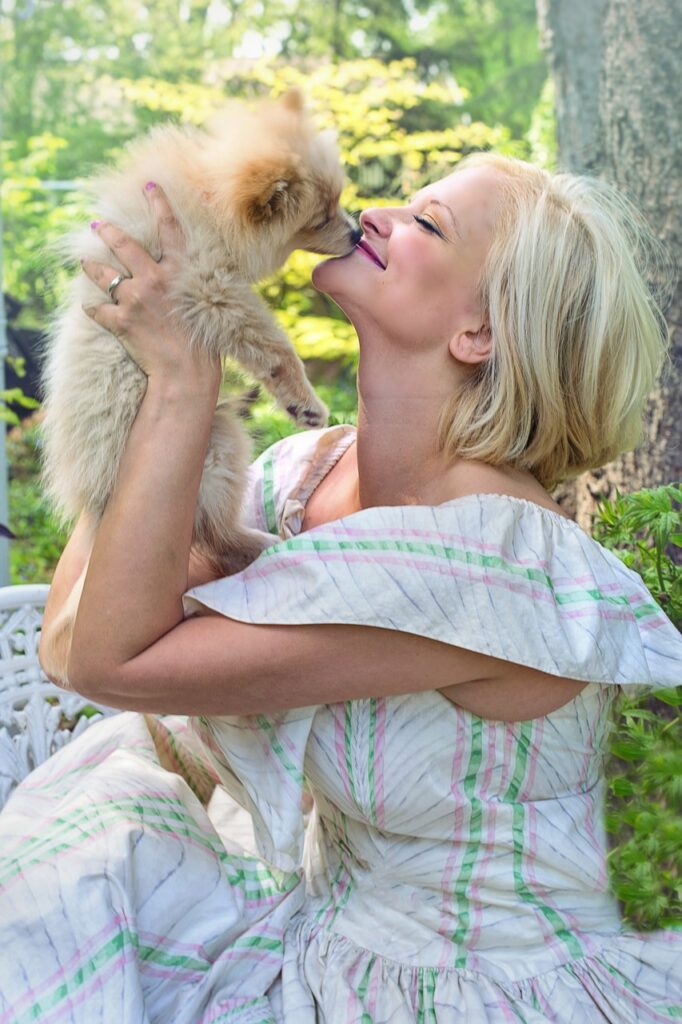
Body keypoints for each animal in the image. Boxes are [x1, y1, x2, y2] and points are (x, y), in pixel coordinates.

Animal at [37, 86, 358, 679]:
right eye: (321, 216)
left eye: (339, 203)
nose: (358, 229)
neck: (208, 199)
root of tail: (98, 504)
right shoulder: (209, 287)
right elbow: (273, 345)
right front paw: (303, 400)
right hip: (219, 444)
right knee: (215, 535)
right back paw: (264, 544)